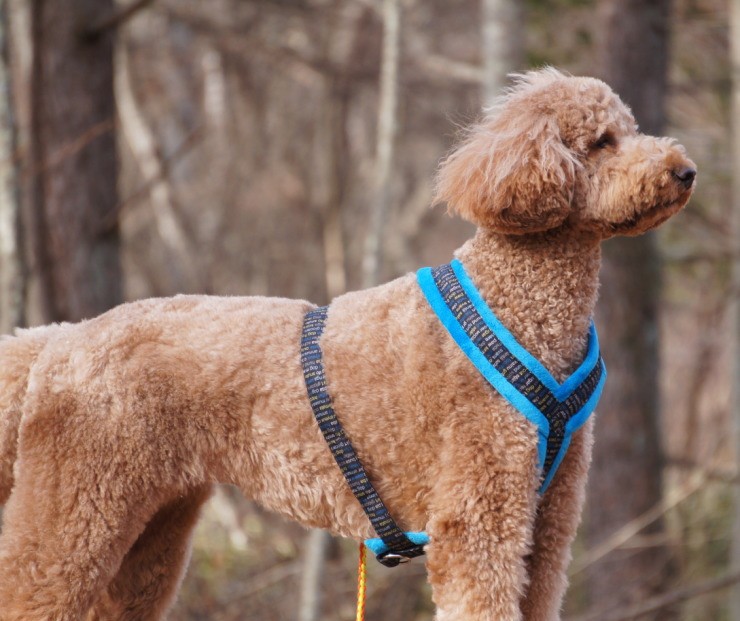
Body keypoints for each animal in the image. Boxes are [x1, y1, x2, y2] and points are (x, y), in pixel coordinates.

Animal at [0, 69, 692, 620]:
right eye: (601, 142)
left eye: (632, 128)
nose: (684, 171)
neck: (519, 303)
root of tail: (59, 340)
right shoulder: (478, 518)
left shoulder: (548, 524)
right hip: (76, 512)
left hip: (153, 532)